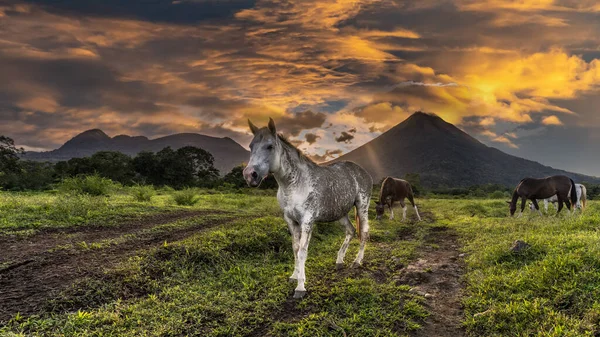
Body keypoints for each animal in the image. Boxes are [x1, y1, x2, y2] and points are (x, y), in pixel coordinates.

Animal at [243, 117, 372, 296]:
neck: (295, 184)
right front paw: (294, 276)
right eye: (251, 146)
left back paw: (357, 261)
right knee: (351, 231)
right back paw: (339, 261)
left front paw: (300, 287)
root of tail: (362, 172)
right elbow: (295, 249)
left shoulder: (307, 221)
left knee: (364, 232)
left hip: (362, 207)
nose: (250, 175)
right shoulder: (290, 220)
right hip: (340, 213)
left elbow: (303, 251)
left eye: (269, 146)